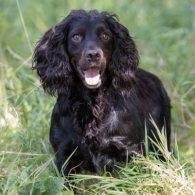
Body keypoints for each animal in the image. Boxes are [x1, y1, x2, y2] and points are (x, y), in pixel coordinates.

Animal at [32, 9, 171, 175]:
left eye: (105, 36)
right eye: (76, 37)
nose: (93, 55)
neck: (91, 103)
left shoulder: (128, 150)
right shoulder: (64, 155)